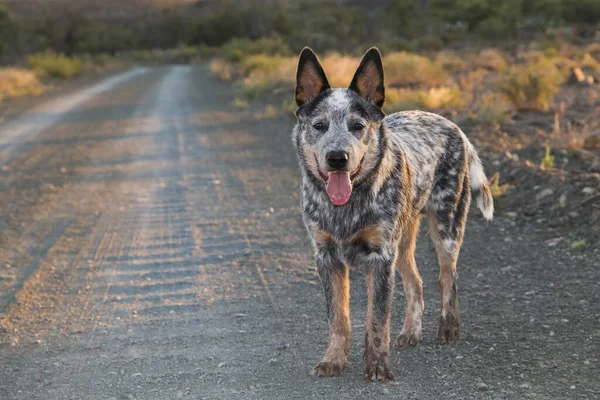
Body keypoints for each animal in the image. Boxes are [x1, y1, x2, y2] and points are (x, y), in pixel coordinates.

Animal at [292, 47, 494, 382]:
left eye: (358, 126)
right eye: (319, 125)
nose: (337, 158)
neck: (347, 207)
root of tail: (454, 127)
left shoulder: (380, 257)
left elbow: (376, 320)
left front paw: (377, 365)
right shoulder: (326, 257)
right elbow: (339, 317)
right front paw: (333, 359)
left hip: (446, 227)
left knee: (447, 277)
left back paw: (448, 328)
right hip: (402, 242)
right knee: (416, 282)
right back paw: (411, 332)